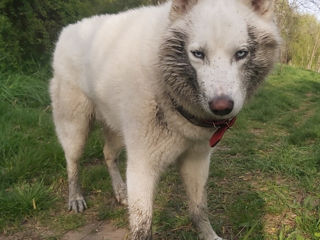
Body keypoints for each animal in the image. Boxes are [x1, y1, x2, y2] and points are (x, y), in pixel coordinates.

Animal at [50, 0, 280, 239]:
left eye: (241, 53)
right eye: (197, 54)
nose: (221, 107)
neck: (163, 80)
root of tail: (67, 31)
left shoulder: (196, 160)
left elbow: (199, 209)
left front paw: (209, 235)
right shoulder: (142, 167)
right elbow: (142, 226)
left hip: (117, 131)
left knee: (108, 155)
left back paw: (120, 191)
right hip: (76, 130)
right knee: (73, 163)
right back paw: (76, 198)